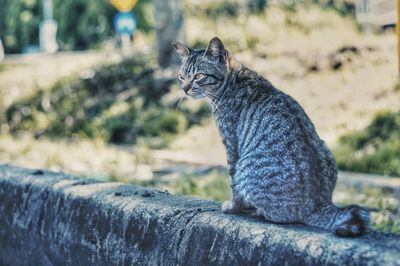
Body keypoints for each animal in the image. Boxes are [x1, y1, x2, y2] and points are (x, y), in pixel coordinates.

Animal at [171, 36, 368, 236]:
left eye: (198, 76)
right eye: (181, 77)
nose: (185, 89)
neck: (233, 81)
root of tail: (317, 204)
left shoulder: (232, 146)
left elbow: (234, 184)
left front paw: (233, 207)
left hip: (246, 165)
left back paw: (258, 211)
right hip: (325, 148)